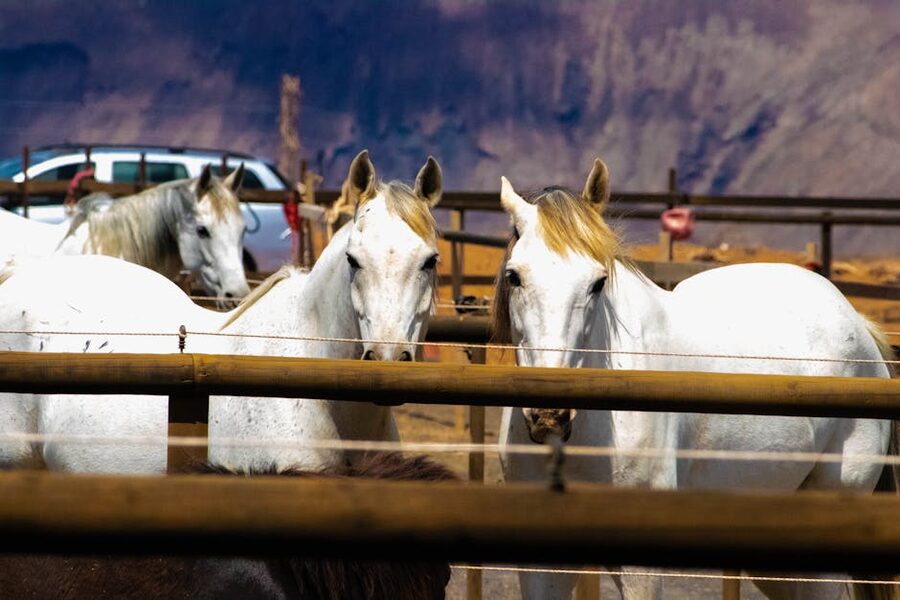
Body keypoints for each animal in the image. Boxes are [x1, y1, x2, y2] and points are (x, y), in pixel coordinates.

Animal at [492, 159, 896, 600]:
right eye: (514, 276)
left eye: (597, 282)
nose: (549, 416)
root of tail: (857, 323)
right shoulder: (539, 565)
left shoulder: (639, 567)